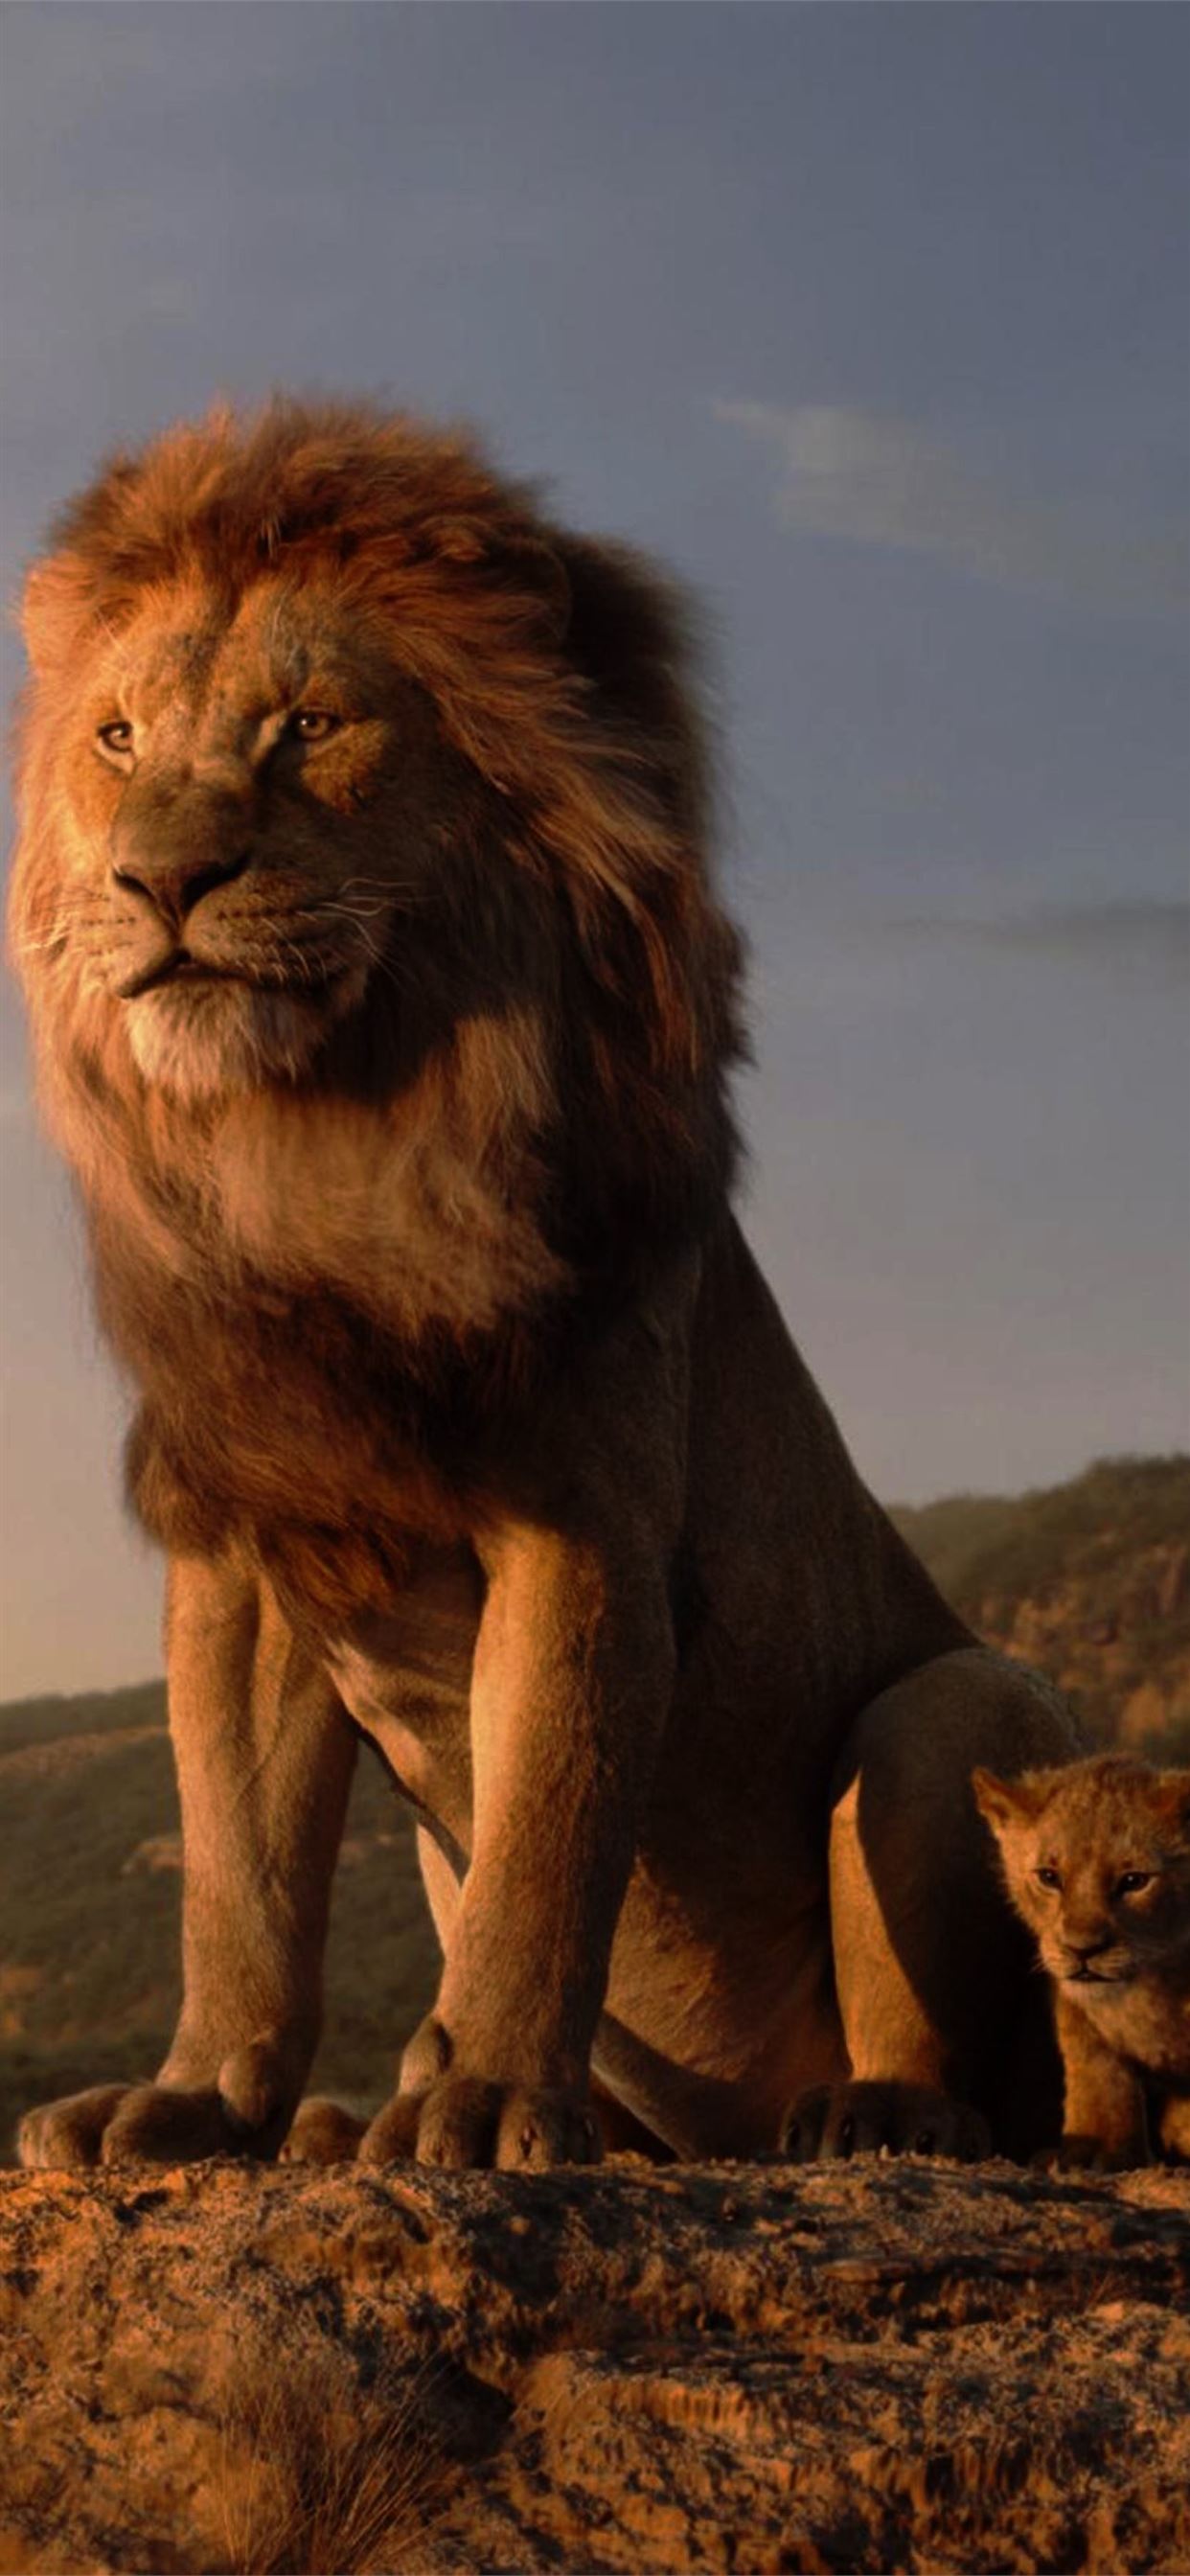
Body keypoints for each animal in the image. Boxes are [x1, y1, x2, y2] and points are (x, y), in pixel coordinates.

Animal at [9, 398, 1079, 2173]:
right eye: (115, 740)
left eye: (310, 726)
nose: (161, 881)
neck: (318, 1145)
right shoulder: (246, 1548)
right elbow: (238, 1879)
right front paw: (199, 2100)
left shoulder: (581, 1526)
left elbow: (545, 1843)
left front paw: (490, 2098)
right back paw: (350, 2122)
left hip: (954, 1703)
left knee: (962, 2058)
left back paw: (862, 2114)